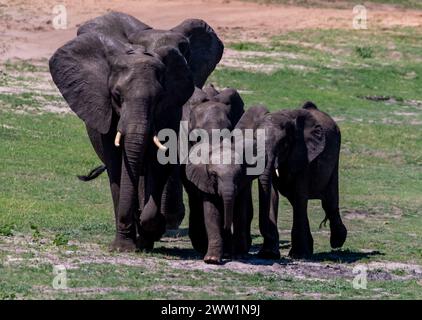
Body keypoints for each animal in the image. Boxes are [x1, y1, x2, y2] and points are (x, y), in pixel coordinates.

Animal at [48, 11, 224, 252]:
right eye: (116, 96)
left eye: (158, 98)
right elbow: (117, 166)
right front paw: (124, 245)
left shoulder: (171, 107)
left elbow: (157, 160)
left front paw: (148, 228)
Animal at [256, 101, 348, 258]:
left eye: (283, 143)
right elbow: (273, 195)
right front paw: (268, 254)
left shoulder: (304, 155)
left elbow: (299, 194)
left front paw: (298, 255)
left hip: (334, 155)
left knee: (328, 201)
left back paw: (337, 241)